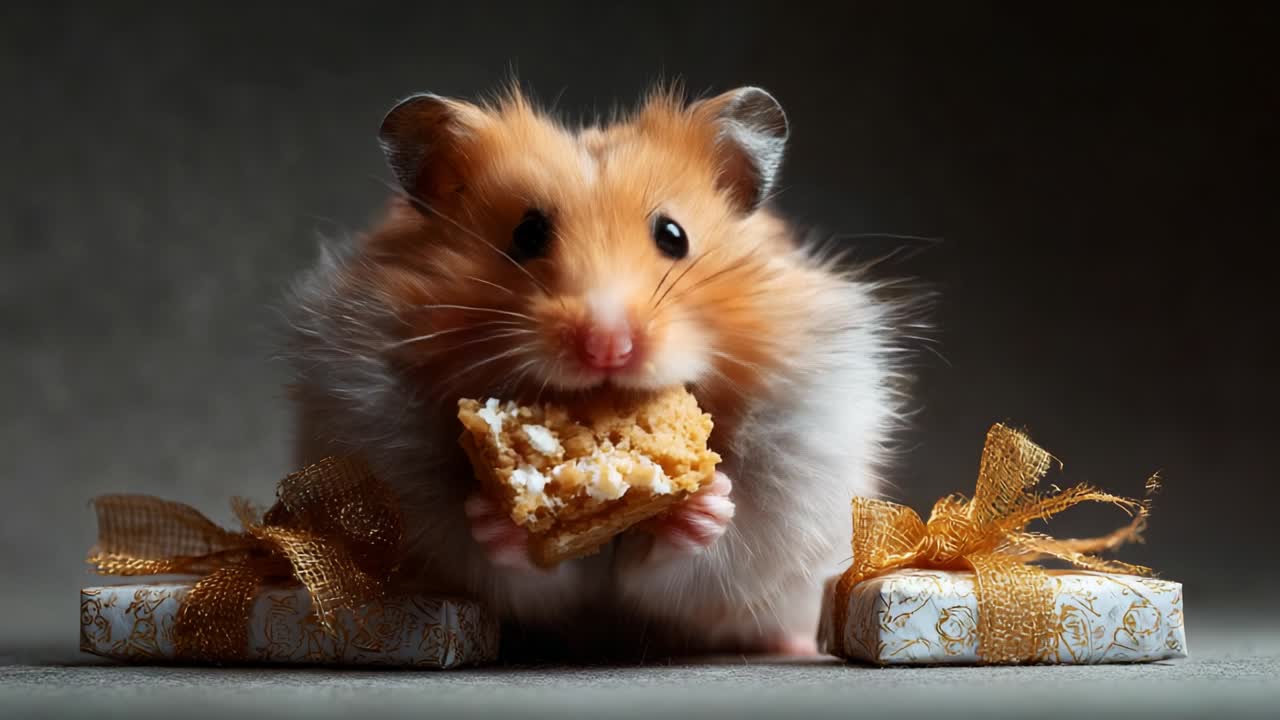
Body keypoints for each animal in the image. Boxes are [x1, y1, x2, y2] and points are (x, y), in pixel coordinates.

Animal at [281, 84, 916, 659]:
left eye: (673, 235)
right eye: (526, 233)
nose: (607, 347)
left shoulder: (790, 487)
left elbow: (695, 559)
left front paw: (705, 505)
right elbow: (516, 567)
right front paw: (497, 517)